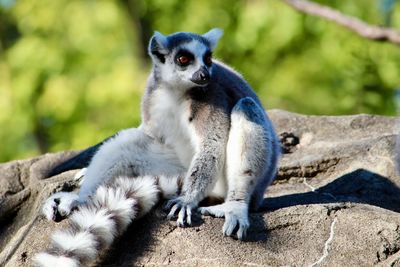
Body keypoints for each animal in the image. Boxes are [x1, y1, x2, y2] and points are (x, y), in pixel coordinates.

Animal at [32, 28, 280, 266]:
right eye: (183, 59)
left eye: (208, 59)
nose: (204, 74)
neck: (177, 91)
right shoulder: (152, 97)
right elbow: (144, 133)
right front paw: (80, 184)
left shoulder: (212, 95)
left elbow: (212, 144)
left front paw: (187, 200)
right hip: (177, 167)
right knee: (129, 142)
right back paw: (81, 199)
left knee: (246, 107)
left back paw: (236, 205)